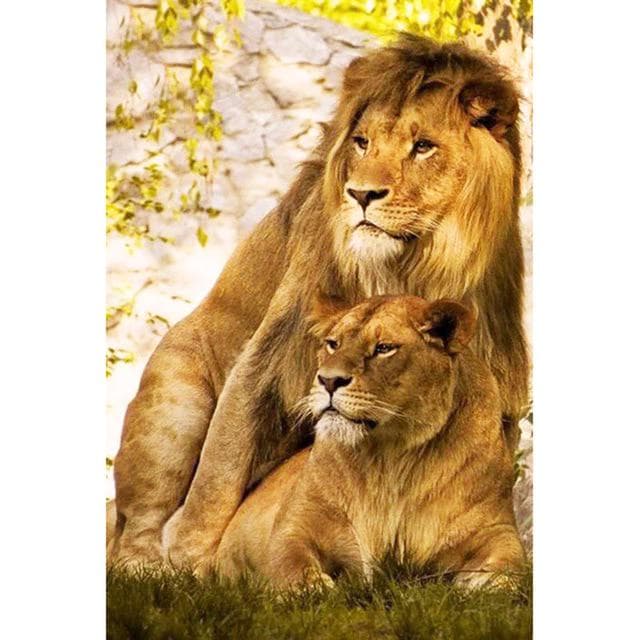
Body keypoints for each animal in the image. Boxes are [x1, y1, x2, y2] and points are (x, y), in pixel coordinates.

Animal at [207, 295, 526, 588]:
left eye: (383, 348)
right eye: (333, 343)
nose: (328, 380)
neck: (390, 457)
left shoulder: (496, 529)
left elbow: (509, 569)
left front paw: (489, 584)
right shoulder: (294, 526)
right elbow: (291, 566)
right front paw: (315, 590)